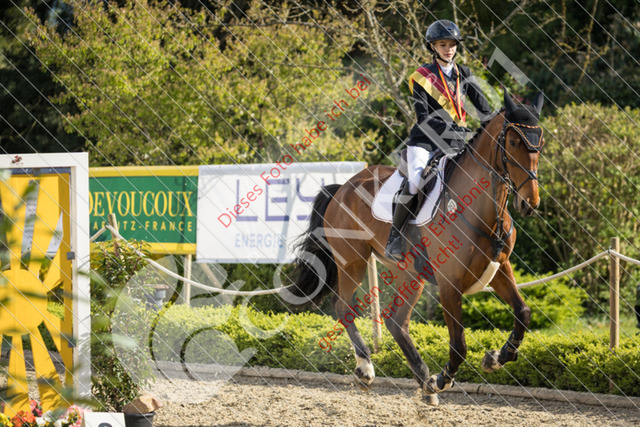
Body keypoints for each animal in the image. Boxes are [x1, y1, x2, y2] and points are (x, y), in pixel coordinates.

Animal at [285, 91, 545, 406]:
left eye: (540, 143)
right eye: (513, 142)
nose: (529, 203)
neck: (482, 211)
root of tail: (343, 187)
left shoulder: (500, 269)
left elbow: (523, 313)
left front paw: (496, 358)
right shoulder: (449, 284)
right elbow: (459, 344)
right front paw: (444, 379)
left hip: (409, 273)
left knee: (396, 322)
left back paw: (424, 381)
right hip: (353, 261)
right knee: (344, 307)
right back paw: (368, 369)